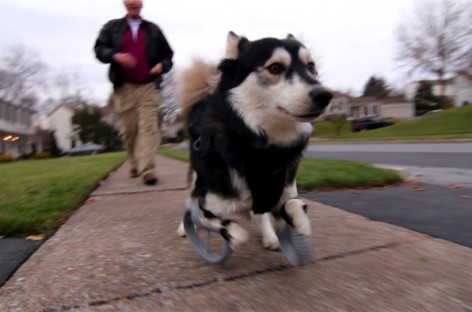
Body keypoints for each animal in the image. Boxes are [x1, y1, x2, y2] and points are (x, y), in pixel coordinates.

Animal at [173, 30, 332, 252]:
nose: (325, 95)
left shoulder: (282, 191)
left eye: (311, 67)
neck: (261, 147)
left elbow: (293, 205)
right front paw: (229, 234)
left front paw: (299, 222)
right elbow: (235, 231)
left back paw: (270, 236)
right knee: (190, 199)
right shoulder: (207, 205)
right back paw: (183, 227)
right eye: (275, 67)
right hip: (197, 175)